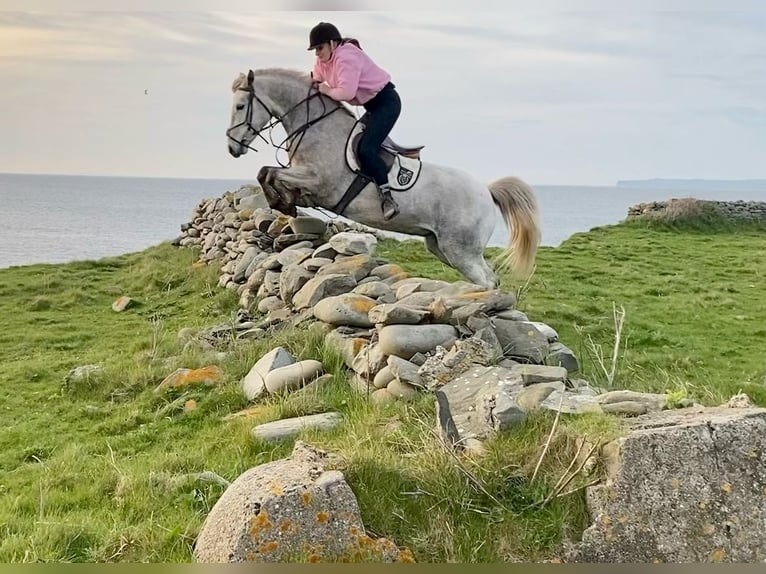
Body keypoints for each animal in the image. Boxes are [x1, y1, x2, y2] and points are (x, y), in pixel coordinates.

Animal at [226, 68, 540, 288]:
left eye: (240, 106)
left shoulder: (319, 183)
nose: (232, 147)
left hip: (461, 250)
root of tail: (487, 191)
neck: (316, 127)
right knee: (490, 278)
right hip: (440, 246)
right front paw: (286, 202)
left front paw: (282, 202)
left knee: (486, 280)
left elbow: (269, 172)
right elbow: (268, 173)